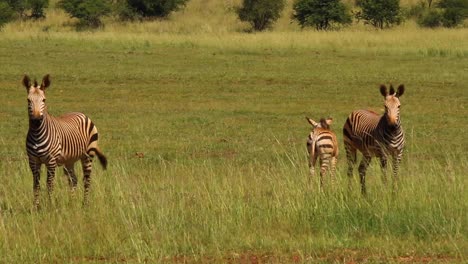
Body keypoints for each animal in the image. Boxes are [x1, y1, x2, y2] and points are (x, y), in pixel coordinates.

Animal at [23, 74, 107, 208]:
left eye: (44, 100)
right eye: (28, 100)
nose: (36, 121)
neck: (37, 134)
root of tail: (81, 113)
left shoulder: (51, 161)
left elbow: (49, 184)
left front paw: (50, 206)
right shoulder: (33, 161)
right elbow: (36, 185)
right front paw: (36, 207)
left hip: (88, 155)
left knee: (87, 180)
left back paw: (85, 204)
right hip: (69, 160)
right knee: (73, 179)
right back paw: (72, 203)